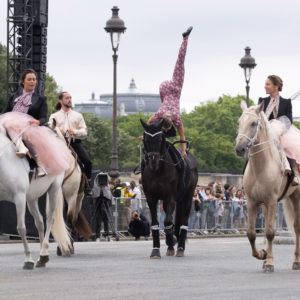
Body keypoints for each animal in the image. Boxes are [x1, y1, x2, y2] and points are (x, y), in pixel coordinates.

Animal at [0, 124, 72, 270]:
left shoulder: (19, 197)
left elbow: (21, 228)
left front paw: (28, 260)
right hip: (32, 198)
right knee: (39, 222)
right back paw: (42, 256)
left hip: (54, 189)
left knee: (50, 219)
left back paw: (43, 254)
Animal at [236, 101, 298, 272]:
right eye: (239, 122)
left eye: (253, 123)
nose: (239, 149)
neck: (260, 167)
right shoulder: (252, 202)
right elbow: (252, 233)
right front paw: (262, 255)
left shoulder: (272, 201)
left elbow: (270, 232)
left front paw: (269, 262)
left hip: (297, 196)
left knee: (297, 227)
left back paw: (296, 261)